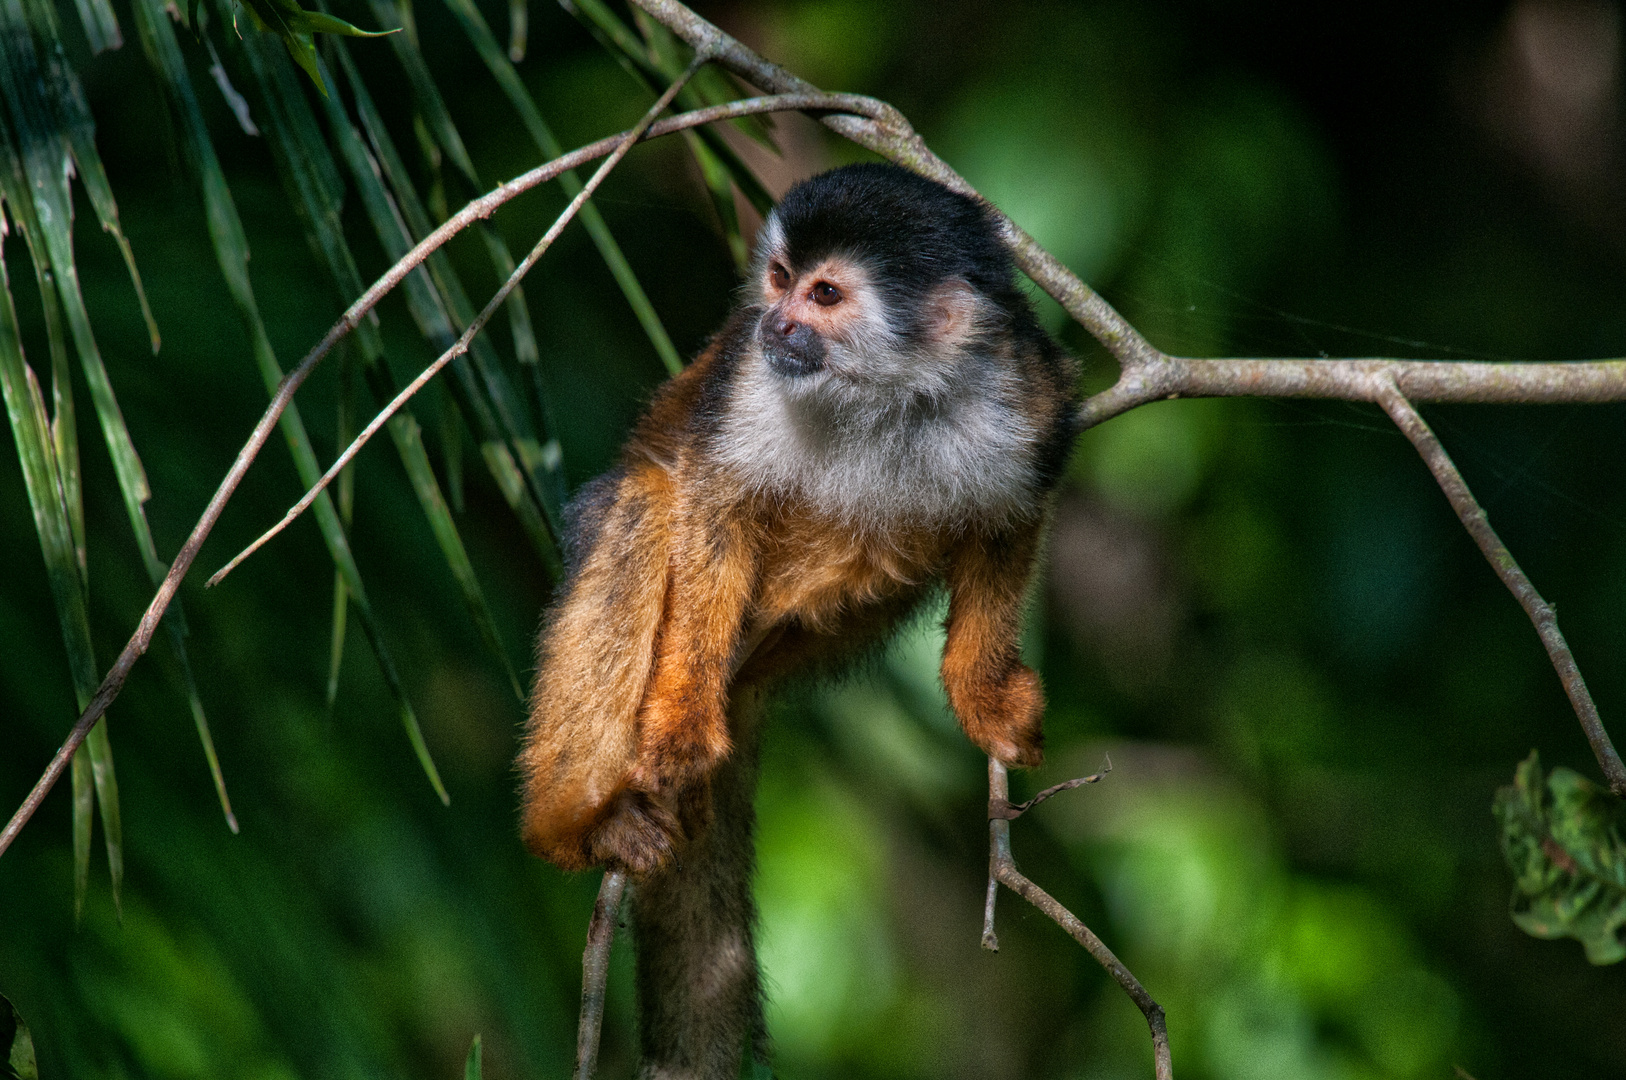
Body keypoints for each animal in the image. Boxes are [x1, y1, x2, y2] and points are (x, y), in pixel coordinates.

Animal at [520, 162, 1079, 878]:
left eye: (826, 294)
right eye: (781, 277)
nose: (776, 324)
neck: (883, 393)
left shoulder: (1027, 393)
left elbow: (1010, 517)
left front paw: (983, 696)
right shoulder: (749, 382)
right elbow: (715, 501)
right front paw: (681, 721)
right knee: (646, 500)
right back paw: (579, 827)